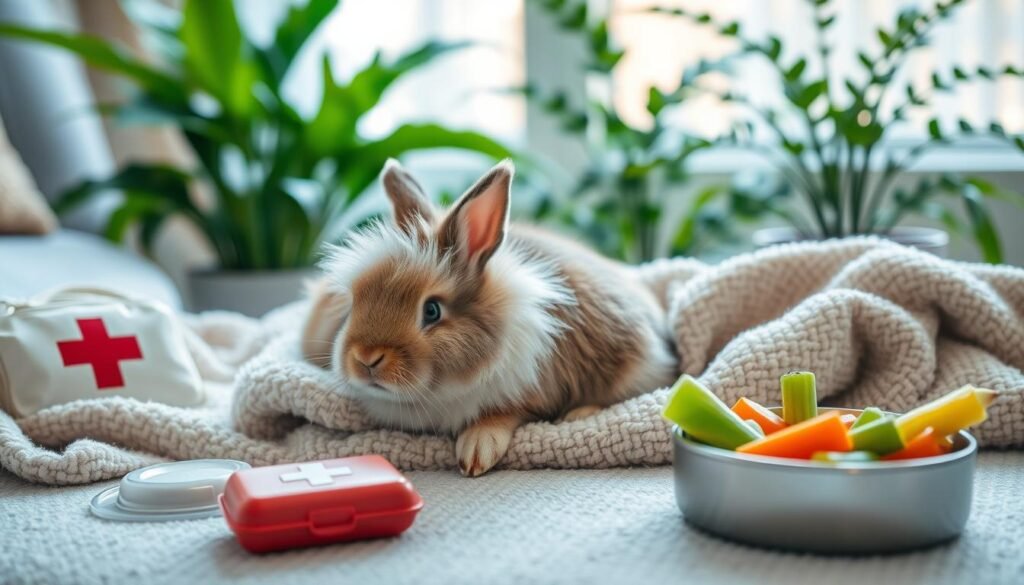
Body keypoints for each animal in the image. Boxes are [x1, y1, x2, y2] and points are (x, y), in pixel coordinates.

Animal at [301, 159, 678, 476]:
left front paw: (477, 450)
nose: (366, 358)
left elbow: (504, 413)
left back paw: (579, 413)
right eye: (354, 301)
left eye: (432, 310)